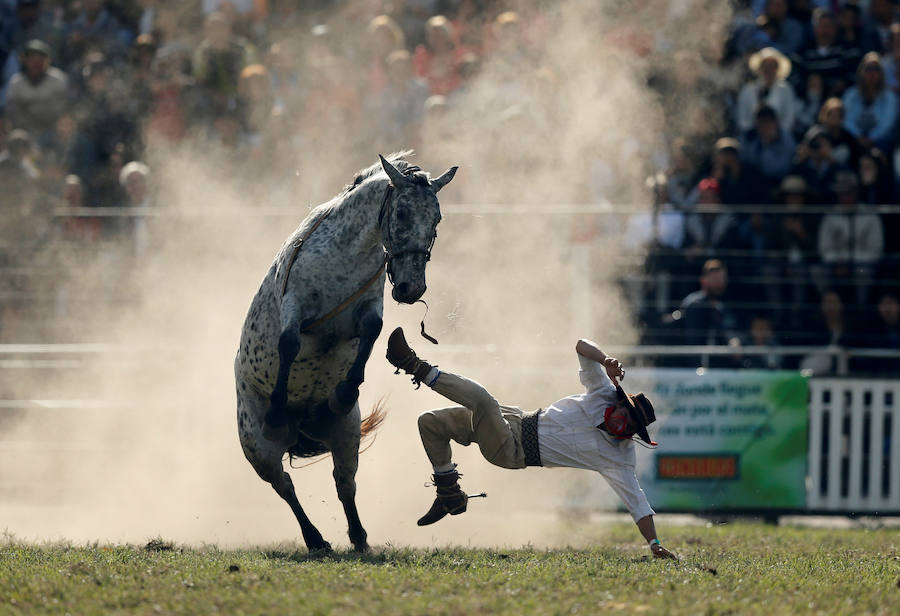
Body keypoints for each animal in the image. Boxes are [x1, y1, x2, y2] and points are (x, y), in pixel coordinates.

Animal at [235, 152, 457, 552]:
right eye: (402, 214)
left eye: (437, 218)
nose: (411, 288)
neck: (344, 258)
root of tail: (303, 431)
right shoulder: (295, 305)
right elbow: (288, 343)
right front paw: (276, 412)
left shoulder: (368, 309)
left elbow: (372, 331)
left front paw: (344, 393)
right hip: (257, 448)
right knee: (284, 486)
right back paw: (315, 539)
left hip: (346, 434)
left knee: (344, 482)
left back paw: (358, 536)